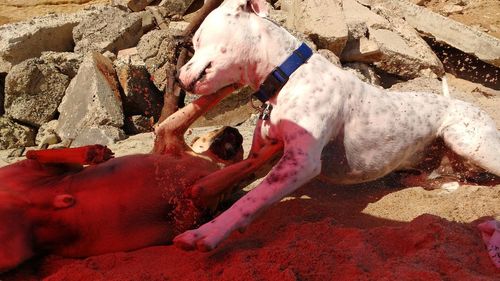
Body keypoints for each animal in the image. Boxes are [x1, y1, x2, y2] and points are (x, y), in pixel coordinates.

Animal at [0, 86, 262, 272]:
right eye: (217, 130)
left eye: (239, 146)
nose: (236, 132)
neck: (209, 159)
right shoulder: (171, 137)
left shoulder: (204, 191)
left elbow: (253, 166)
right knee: (35, 155)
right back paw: (93, 152)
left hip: (13, 252)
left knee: (38, 157)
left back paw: (92, 153)